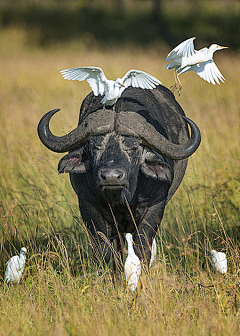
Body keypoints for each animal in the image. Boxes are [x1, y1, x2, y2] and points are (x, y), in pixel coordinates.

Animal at [38, 86, 201, 268]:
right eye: (94, 146)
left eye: (134, 147)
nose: (111, 177)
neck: (122, 199)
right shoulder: (88, 205)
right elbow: (103, 249)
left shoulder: (156, 206)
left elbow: (142, 248)